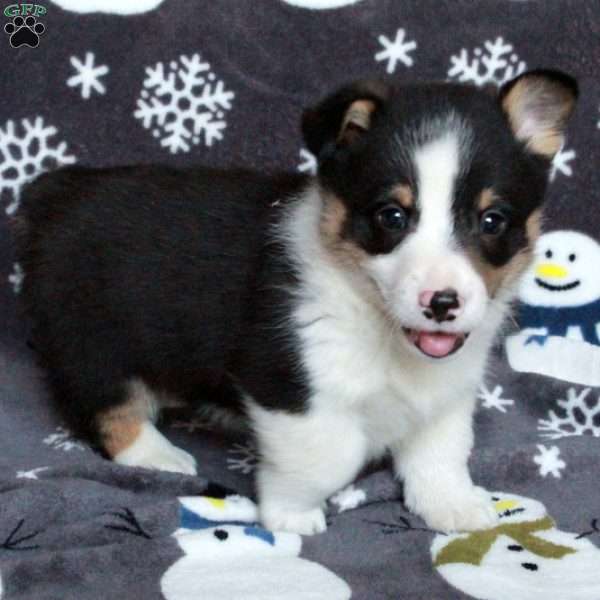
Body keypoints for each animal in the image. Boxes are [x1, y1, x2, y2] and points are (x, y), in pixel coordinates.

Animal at [15, 69, 576, 536]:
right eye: (391, 216)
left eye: (492, 221)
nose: (442, 303)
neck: (380, 327)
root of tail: (56, 193)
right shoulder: (287, 380)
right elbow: (332, 452)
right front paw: (291, 514)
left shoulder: (447, 390)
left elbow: (442, 449)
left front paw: (453, 506)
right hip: (91, 336)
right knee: (105, 404)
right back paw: (159, 456)